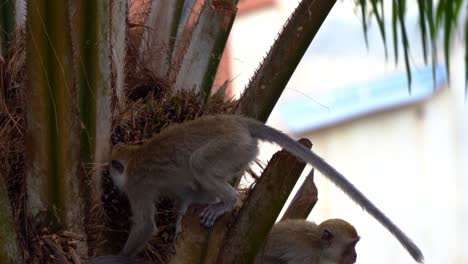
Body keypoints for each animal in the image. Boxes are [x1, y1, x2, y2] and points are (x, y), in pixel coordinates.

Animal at [109, 114, 424, 260]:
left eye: (112, 170)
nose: (109, 184)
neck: (134, 155)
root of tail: (238, 121)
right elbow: (187, 194)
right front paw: (181, 214)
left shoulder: (137, 185)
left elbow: (146, 226)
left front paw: (119, 257)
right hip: (241, 153)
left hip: (231, 146)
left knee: (199, 163)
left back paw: (228, 201)